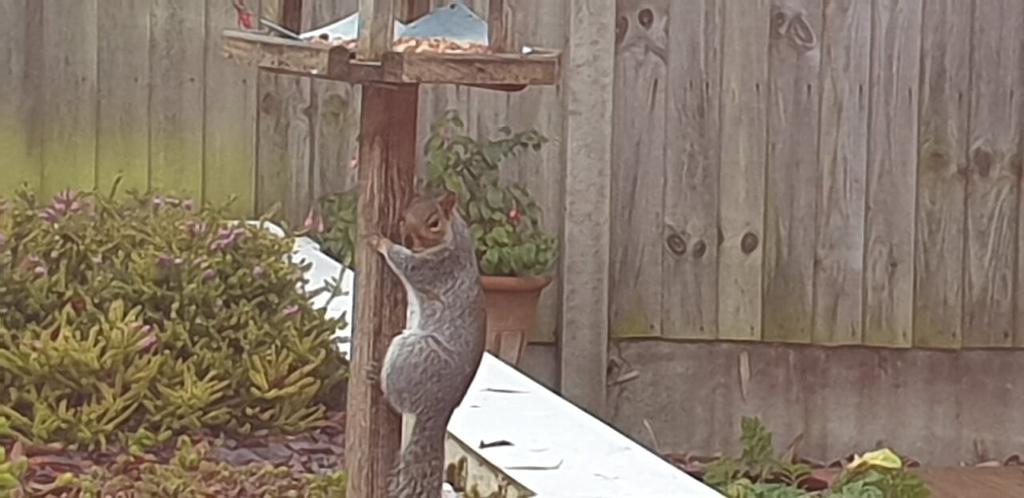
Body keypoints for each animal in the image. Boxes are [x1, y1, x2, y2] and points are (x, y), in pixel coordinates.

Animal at [366, 190, 486, 498]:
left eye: (434, 222)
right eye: (403, 215)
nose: (410, 240)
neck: (453, 235)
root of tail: (440, 409)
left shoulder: (436, 268)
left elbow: (405, 263)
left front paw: (380, 241)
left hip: (412, 351)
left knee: (396, 400)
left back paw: (377, 381)